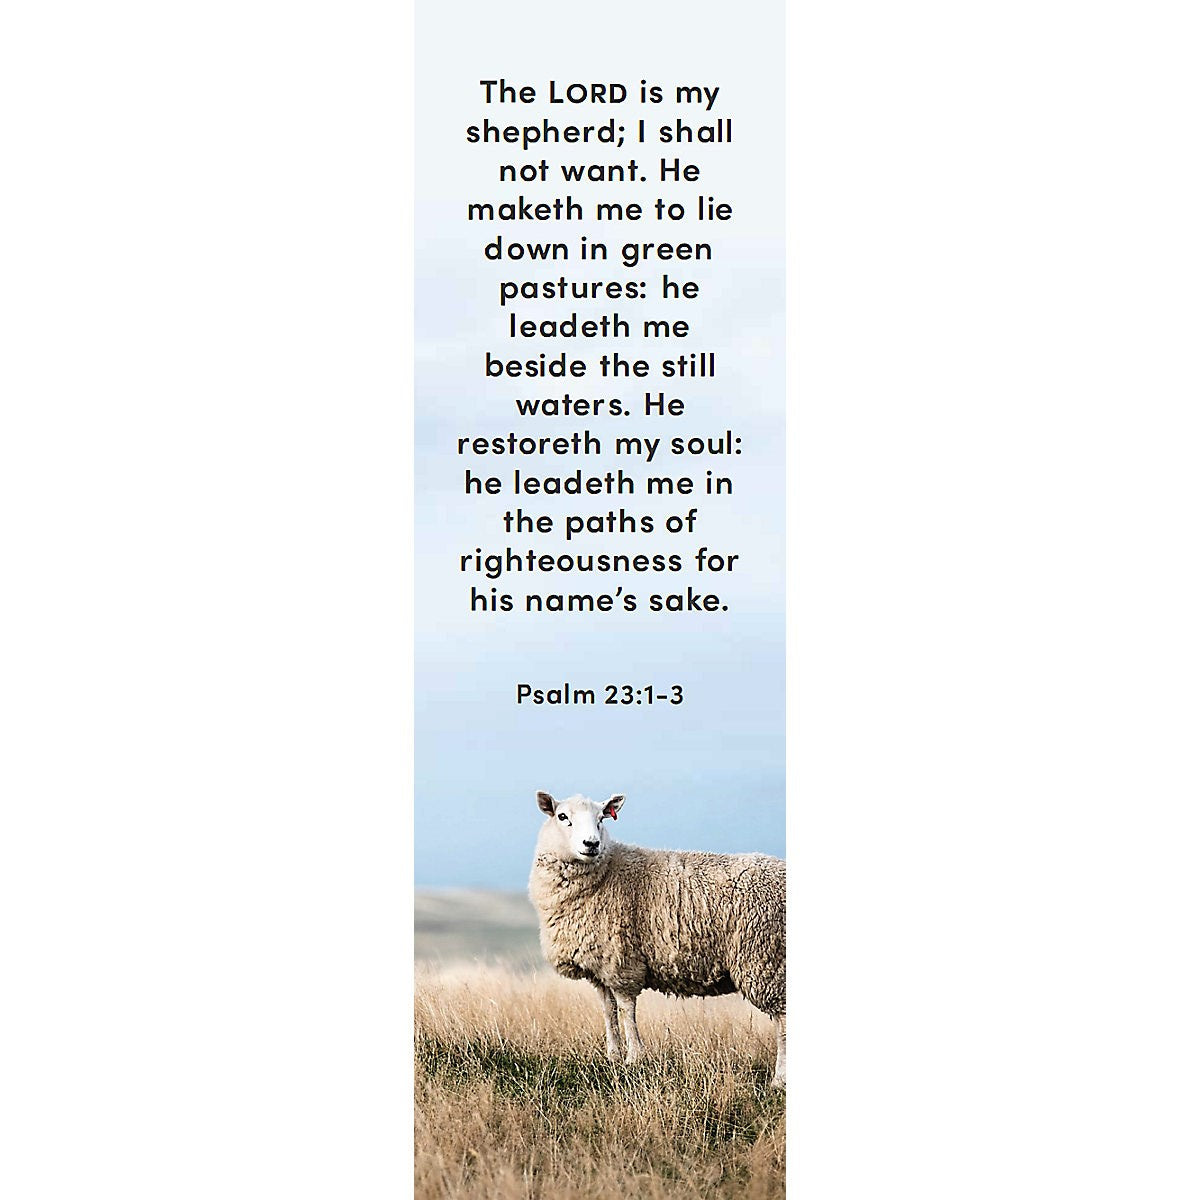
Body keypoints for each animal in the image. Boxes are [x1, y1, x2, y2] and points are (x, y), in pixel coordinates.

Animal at [527, 790, 786, 1087]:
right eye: (562, 816)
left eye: (602, 818)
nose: (591, 844)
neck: (606, 872)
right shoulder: (600, 967)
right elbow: (608, 1011)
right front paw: (613, 1056)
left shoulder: (622, 963)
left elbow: (626, 1011)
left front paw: (634, 1058)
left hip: (766, 960)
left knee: (783, 1022)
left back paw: (779, 1080)